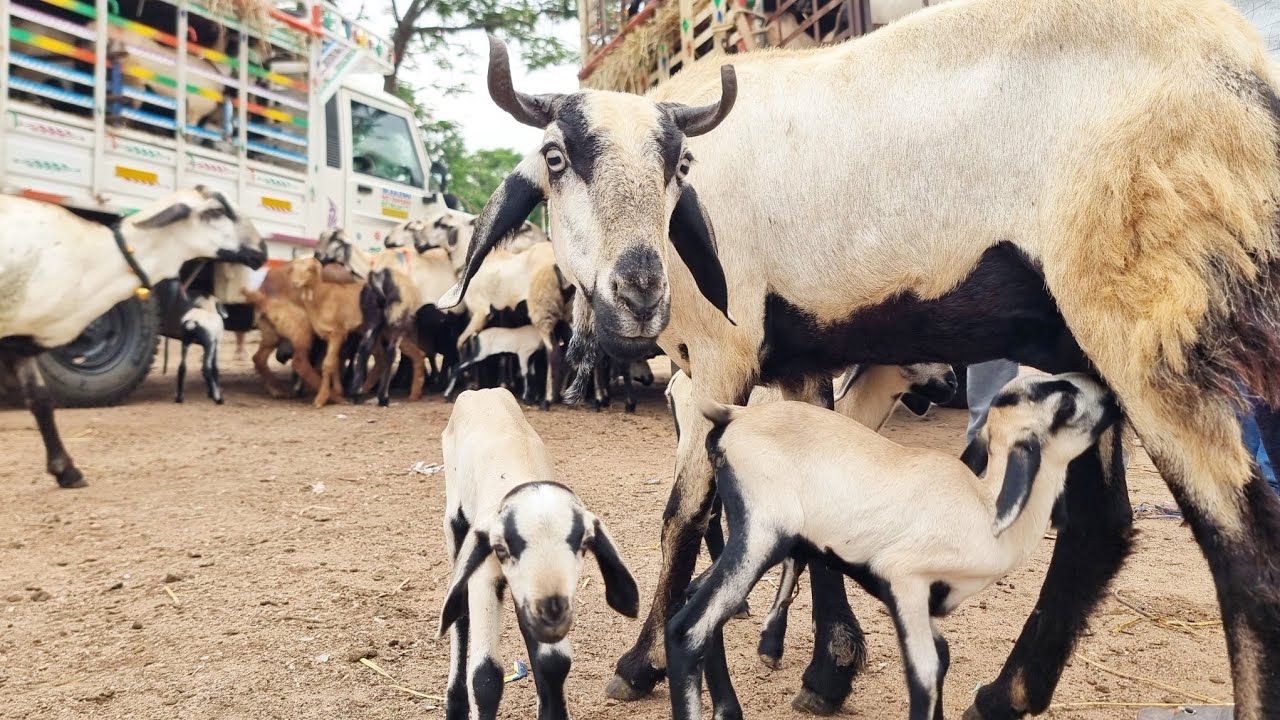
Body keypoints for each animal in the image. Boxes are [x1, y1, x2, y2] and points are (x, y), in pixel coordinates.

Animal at [0, 187, 264, 488]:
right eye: (216, 211)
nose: (262, 249)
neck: (95, 262)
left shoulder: (21, 338)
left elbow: (40, 401)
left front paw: (66, 472)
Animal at [438, 387, 640, 720]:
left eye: (582, 544)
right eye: (502, 546)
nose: (552, 608)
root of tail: (482, 391)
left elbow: (555, 662)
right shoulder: (485, 573)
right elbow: (485, 675)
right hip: (455, 520)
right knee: (460, 615)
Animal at [666, 373, 1118, 720]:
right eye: (1065, 402)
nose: (1110, 393)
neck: (984, 504)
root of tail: (735, 414)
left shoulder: (926, 601)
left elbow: (942, 658)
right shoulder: (904, 579)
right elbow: (925, 673)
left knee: (697, 594)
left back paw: (728, 710)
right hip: (762, 533)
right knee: (688, 628)